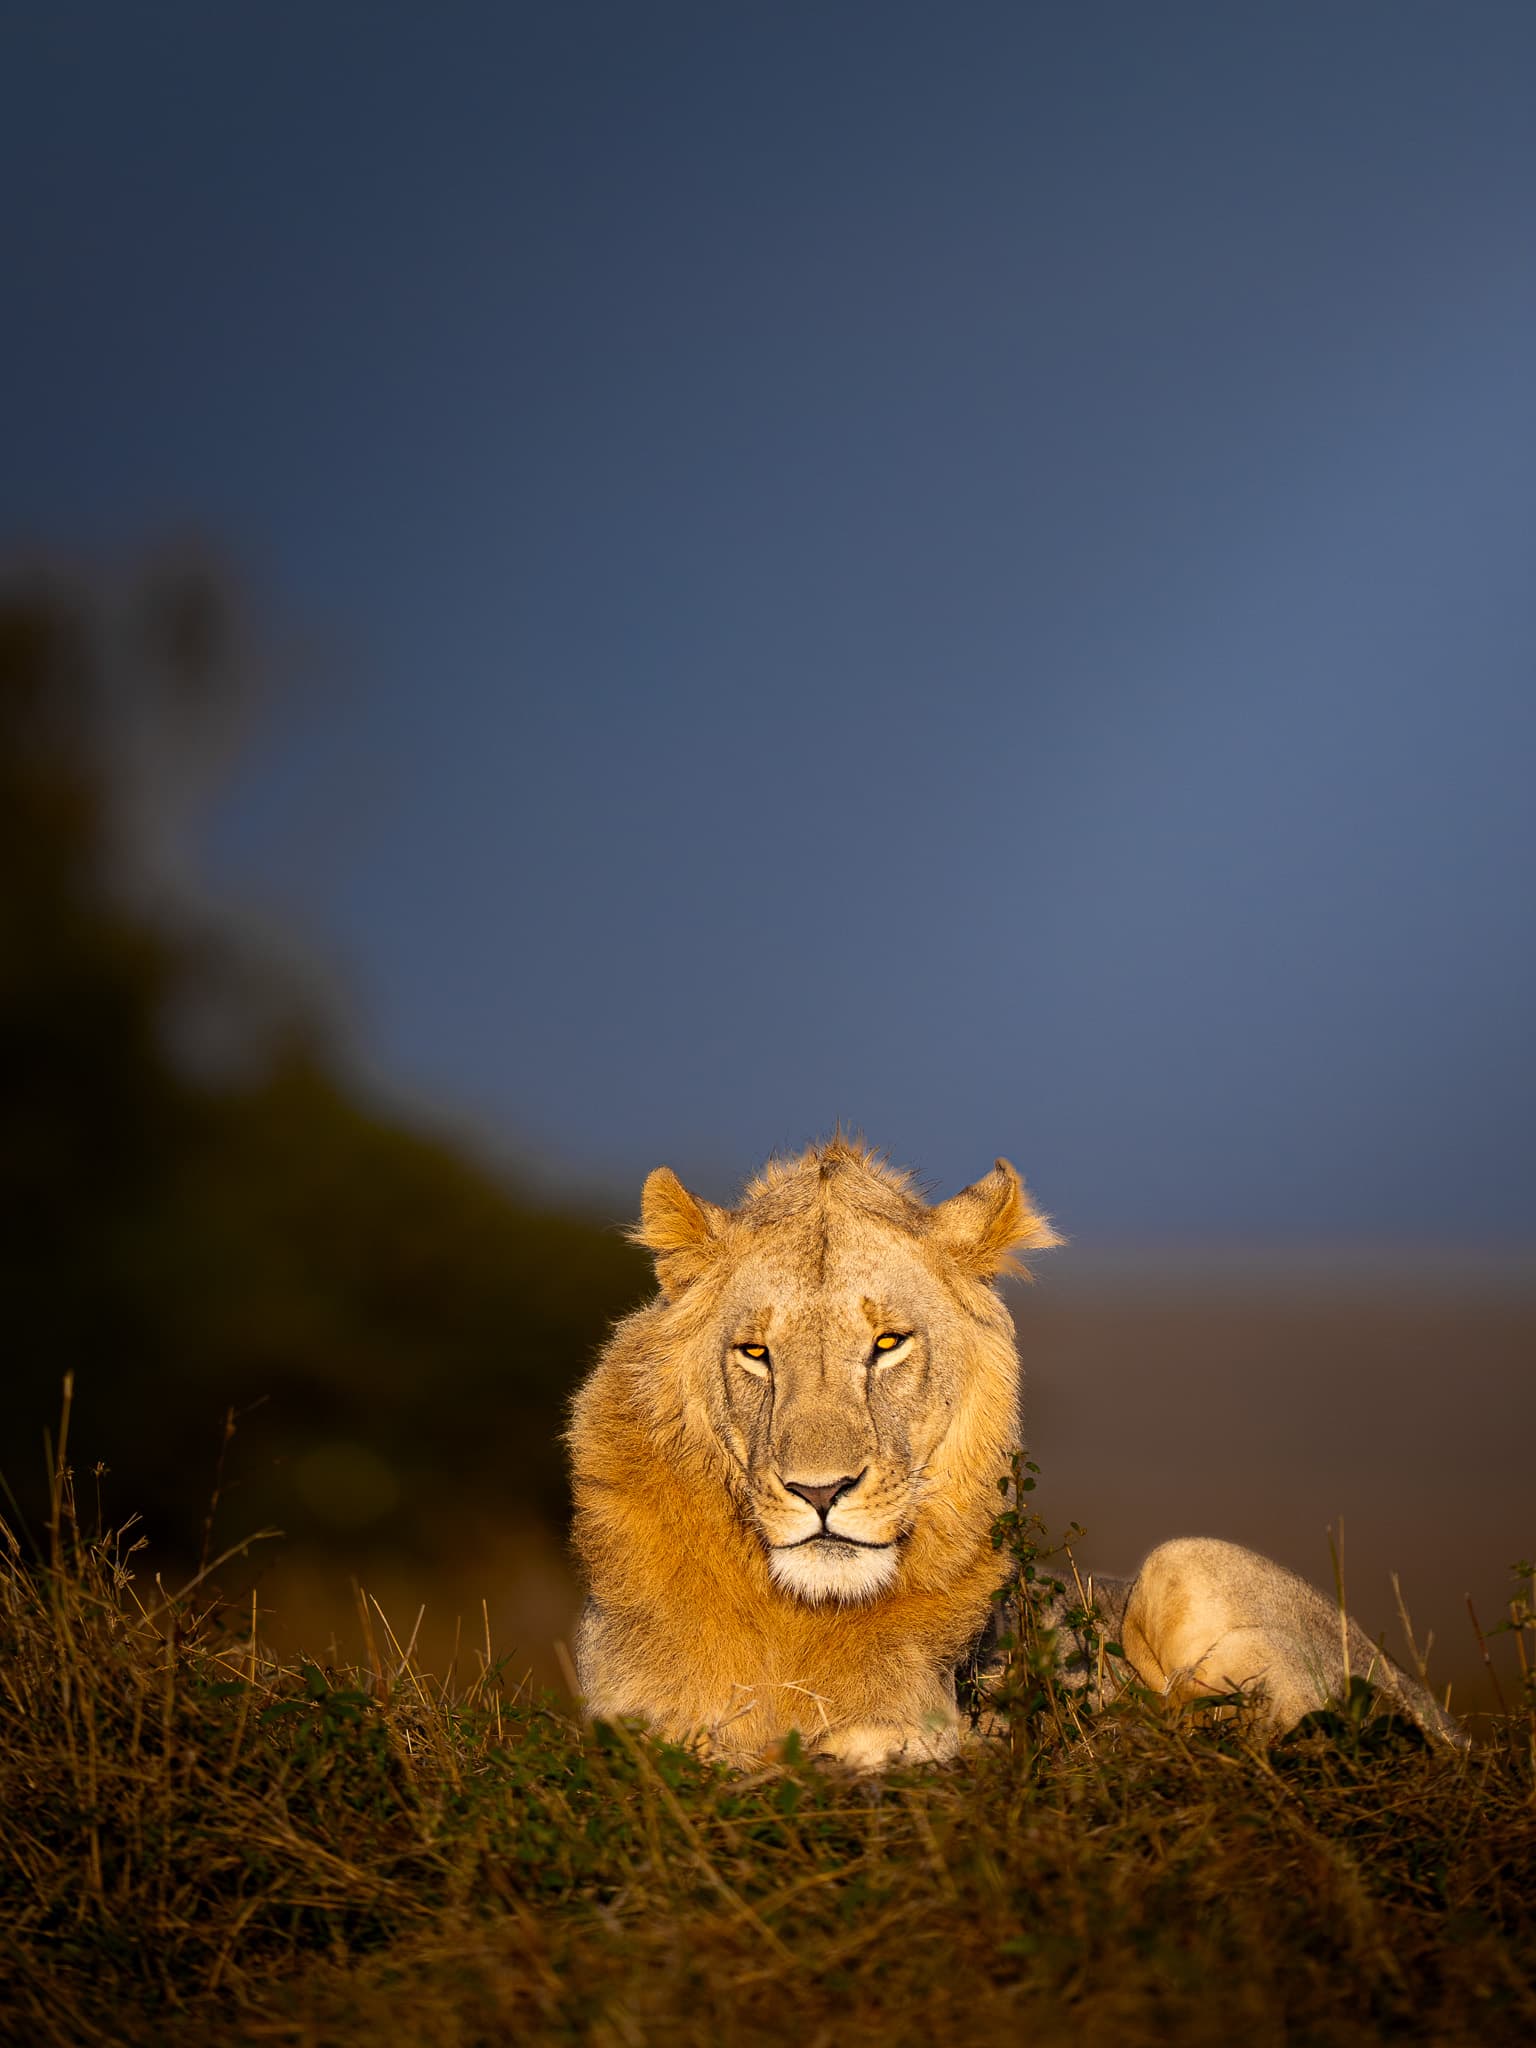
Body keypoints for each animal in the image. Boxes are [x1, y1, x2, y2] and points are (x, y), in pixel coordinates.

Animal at [567, 1138, 1464, 1768]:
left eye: (888, 1344)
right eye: (755, 1353)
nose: (821, 1492)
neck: (794, 1617)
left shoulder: (932, 1703)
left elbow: (901, 1738)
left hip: (1185, 1564)